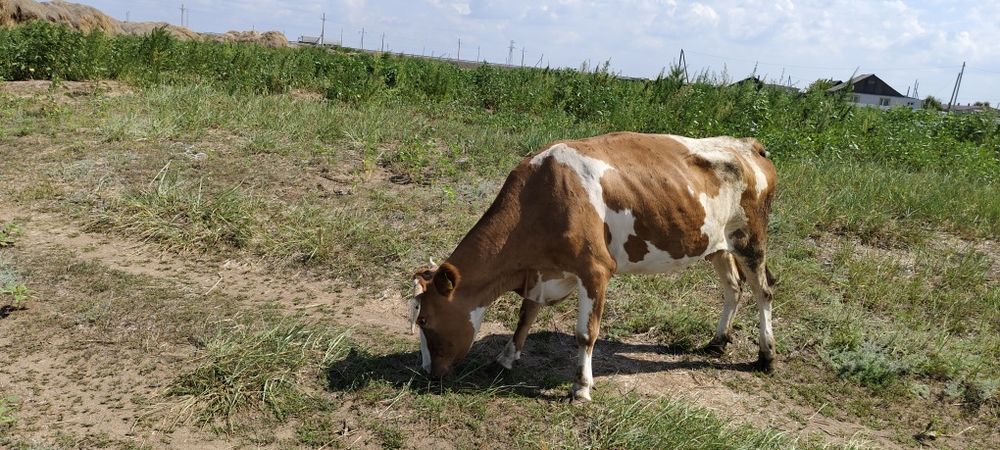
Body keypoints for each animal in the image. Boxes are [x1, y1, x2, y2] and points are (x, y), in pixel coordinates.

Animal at [409, 132, 777, 401]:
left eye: (424, 320)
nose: (426, 372)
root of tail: (747, 144)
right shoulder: (541, 273)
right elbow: (525, 316)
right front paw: (506, 358)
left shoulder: (596, 269)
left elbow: (585, 333)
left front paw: (581, 387)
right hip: (718, 243)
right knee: (733, 286)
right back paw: (718, 341)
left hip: (751, 238)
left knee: (763, 291)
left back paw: (766, 356)